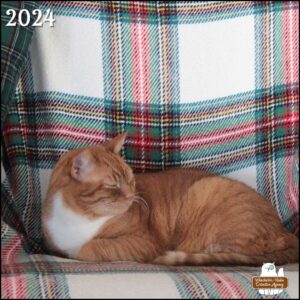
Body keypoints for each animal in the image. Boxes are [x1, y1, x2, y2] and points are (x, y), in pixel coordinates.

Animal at [41, 133, 298, 264]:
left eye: (131, 179)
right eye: (113, 185)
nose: (132, 195)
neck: (76, 217)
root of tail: (285, 231)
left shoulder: (144, 242)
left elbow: (89, 248)